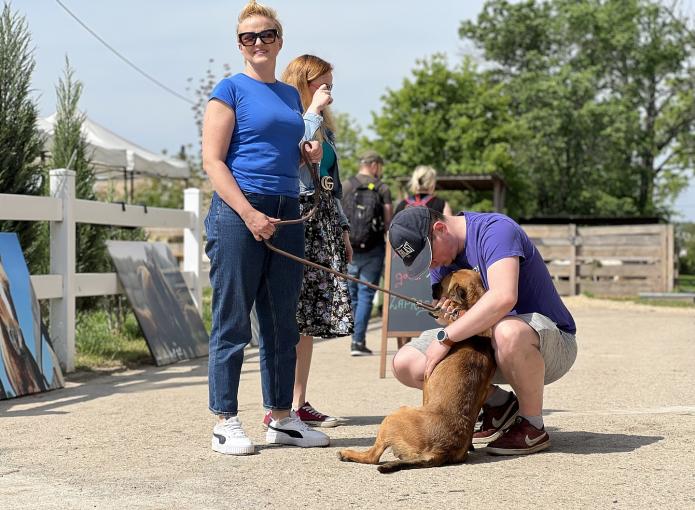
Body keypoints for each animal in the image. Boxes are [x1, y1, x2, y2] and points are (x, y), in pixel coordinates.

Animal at [338, 268, 494, 472]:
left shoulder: (427, 383)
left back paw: (348, 454)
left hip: (394, 416)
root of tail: (440, 451)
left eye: (445, 279)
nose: (432, 284)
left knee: (372, 456)